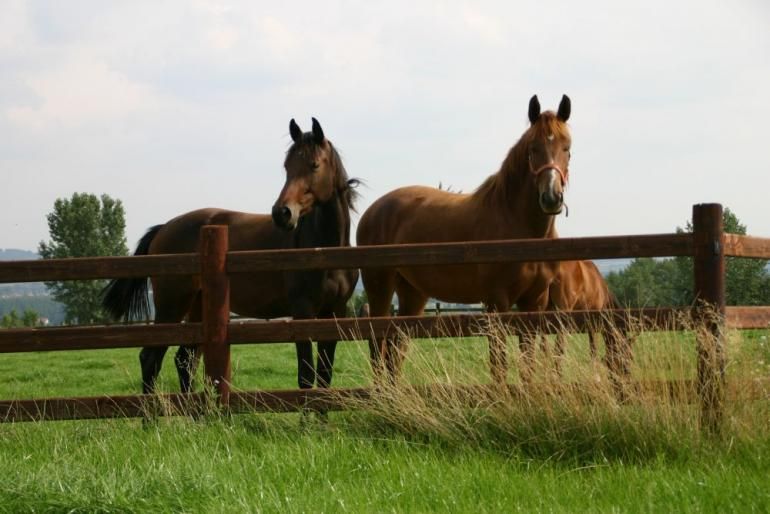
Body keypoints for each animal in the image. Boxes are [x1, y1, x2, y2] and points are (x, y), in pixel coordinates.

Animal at [100, 118, 360, 394]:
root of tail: (164, 228)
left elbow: (324, 376)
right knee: (151, 358)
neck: (324, 252)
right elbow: (306, 377)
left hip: (196, 307)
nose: (282, 213)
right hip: (171, 305)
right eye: (287, 166)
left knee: (185, 359)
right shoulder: (303, 312)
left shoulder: (334, 313)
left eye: (314, 165)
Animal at [356, 94, 568, 382]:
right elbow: (499, 363)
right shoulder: (496, 302)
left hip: (412, 293)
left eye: (567, 147)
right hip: (379, 287)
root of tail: (372, 210)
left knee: (396, 346)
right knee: (378, 344)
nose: (551, 197)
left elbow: (528, 362)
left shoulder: (534, 301)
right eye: (533, 149)